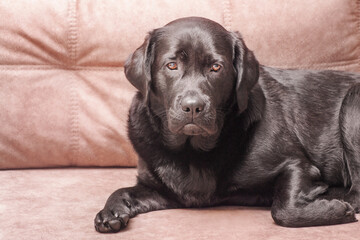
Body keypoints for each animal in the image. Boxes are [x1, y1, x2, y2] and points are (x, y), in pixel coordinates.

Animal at [94, 16, 358, 232]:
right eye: (172, 65)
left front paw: (333, 209)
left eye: (215, 67)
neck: (192, 151)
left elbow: (283, 209)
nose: (193, 106)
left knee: (355, 192)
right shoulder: (164, 191)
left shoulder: (297, 164)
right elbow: (124, 190)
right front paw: (110, 211)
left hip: (351, 107)